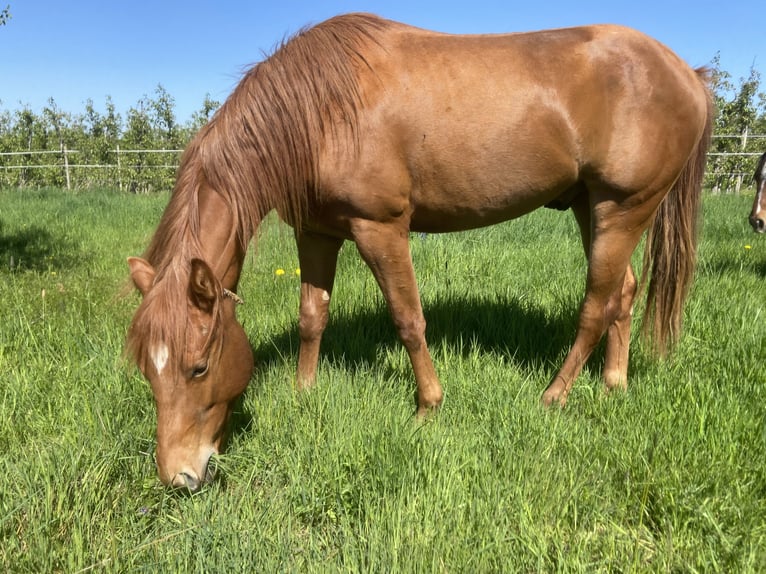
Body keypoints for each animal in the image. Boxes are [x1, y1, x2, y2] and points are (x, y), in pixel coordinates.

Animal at [126, 13, 713, 491]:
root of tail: (688, 75)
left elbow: (408, 319)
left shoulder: (381, 229)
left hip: (624, 207)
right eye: (146, 371)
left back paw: (554, 396)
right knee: (624, 292)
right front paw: (304, 392)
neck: (322, 113)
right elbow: (312, 316)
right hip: (591, 206)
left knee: (595, 305)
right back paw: (614, 385)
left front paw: (427, 408)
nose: (180, 477)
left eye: (199, 367)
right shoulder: (316, 233)